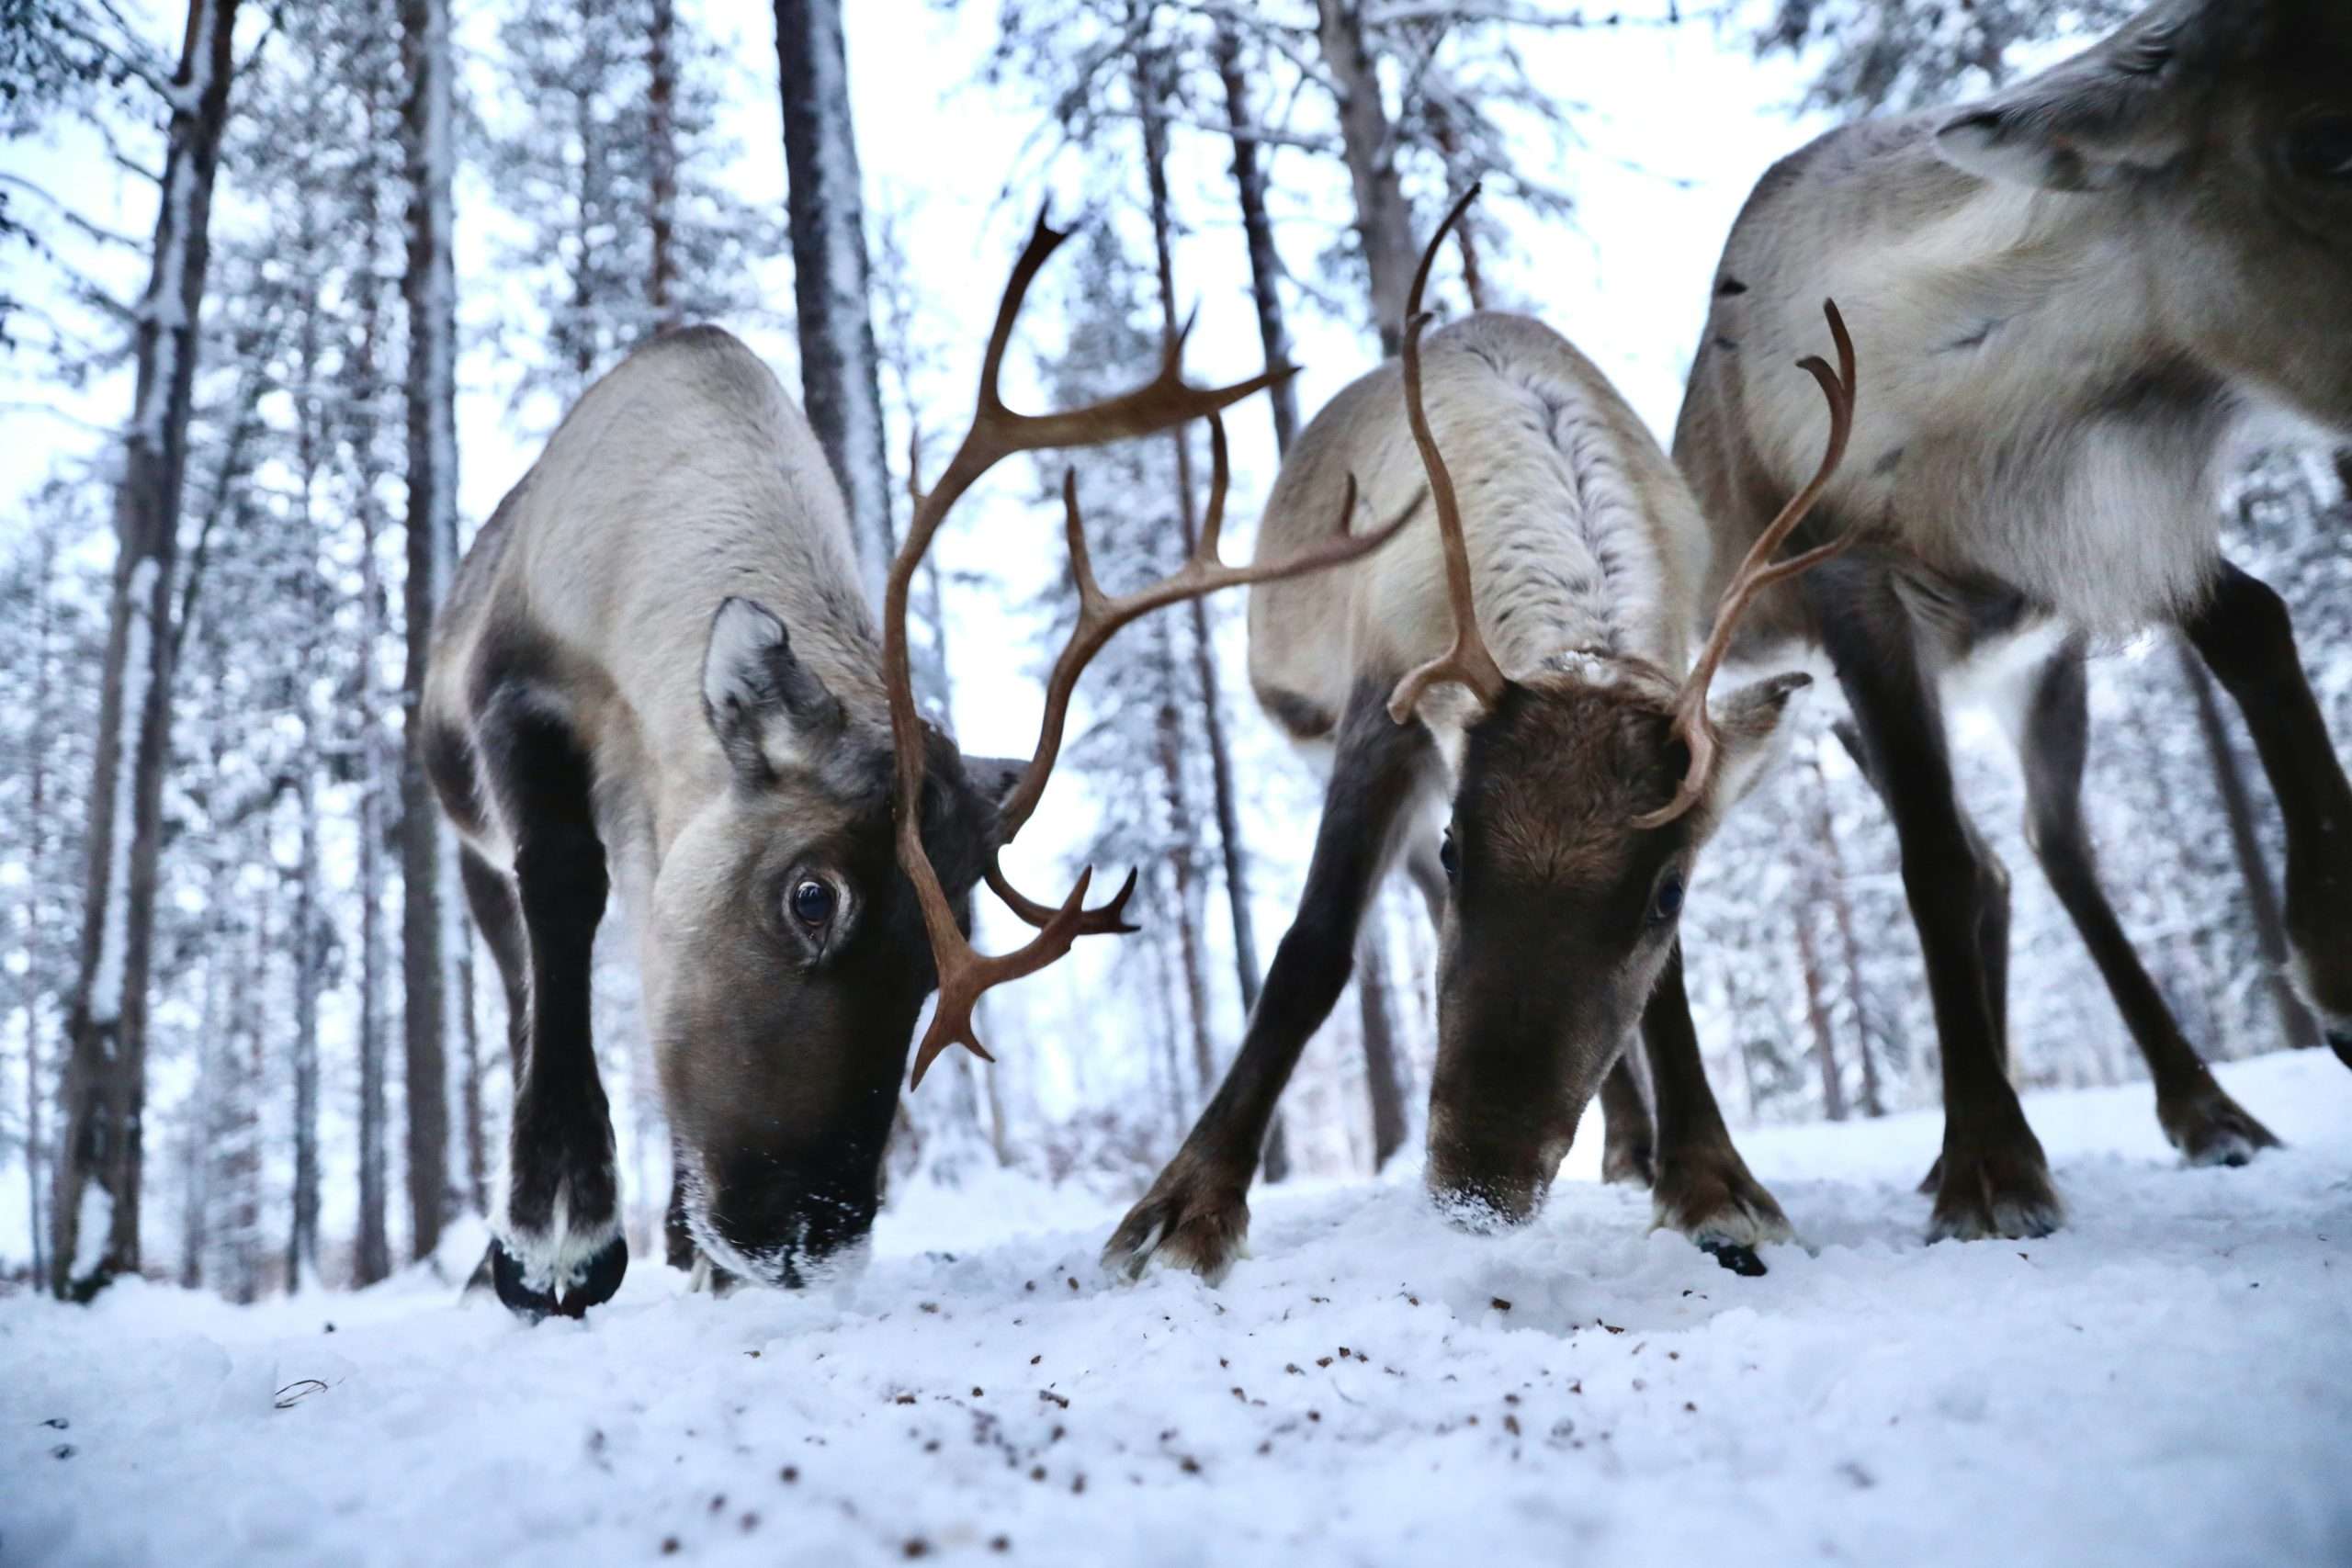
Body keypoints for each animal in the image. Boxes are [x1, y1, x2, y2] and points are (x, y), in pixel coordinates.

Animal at [420, 211, 1405, 1319]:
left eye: (943, 954)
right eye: (812, 896)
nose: (809, 1239)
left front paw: (676, 1248)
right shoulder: (512, 703)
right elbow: (560, 898)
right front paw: (556, 1244)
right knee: (524, 984)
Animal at [1103, 187, 1861, 1284]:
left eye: (1667, 893)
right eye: (1465, 848)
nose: (1477, 1193)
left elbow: (1665, 991)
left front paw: (1711, 1184)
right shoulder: (1384, 715)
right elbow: (1310, 951)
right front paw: (1182, 1208)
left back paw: (1631, 1147)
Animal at [1670, 0, 2352, 1244]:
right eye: (2322, 141)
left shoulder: (2086, 557)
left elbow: (2257, 621)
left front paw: (2340, 956)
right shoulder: (1860, 595)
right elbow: (1929, 862)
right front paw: (1989, 1165)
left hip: (2013, 681)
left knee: (2045, 846)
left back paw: (2204, 1108)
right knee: (1967, 853)